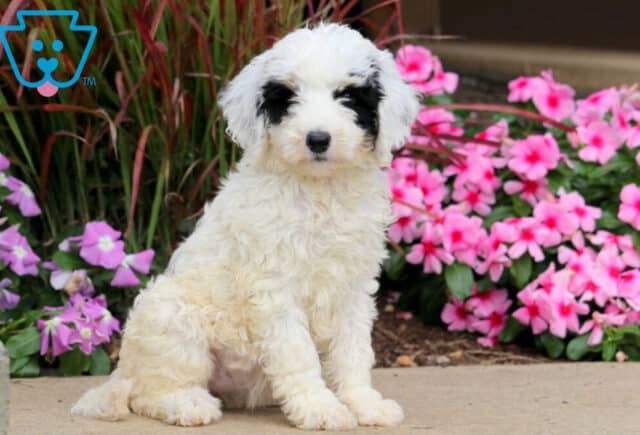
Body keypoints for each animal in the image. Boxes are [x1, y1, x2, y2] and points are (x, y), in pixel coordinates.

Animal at [71, 23, 420, 430]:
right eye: (288, 98)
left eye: (348, 96)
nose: (317, 138)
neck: (319, 191)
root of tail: (123, 372)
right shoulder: (275, 289)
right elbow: (299, 354)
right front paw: (320, 407)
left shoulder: (353, 287)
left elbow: (353, 350)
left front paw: (363, 402)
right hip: (170, 315)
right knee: (150, 392)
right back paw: (188, 404)